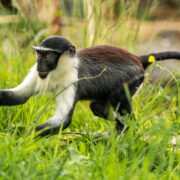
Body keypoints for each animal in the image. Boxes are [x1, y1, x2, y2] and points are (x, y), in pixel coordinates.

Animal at [0, 35, 180, 138]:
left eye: (49, 56)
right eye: (39, 55)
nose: (40, 65)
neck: (59, 69)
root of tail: (138, 58)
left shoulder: (72, 79)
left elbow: (63, 120)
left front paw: (21, 140)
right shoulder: (36, 73)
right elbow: (19, 97)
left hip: (133, 79)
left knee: (117, 98)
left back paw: (125, 133)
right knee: (97, 107)